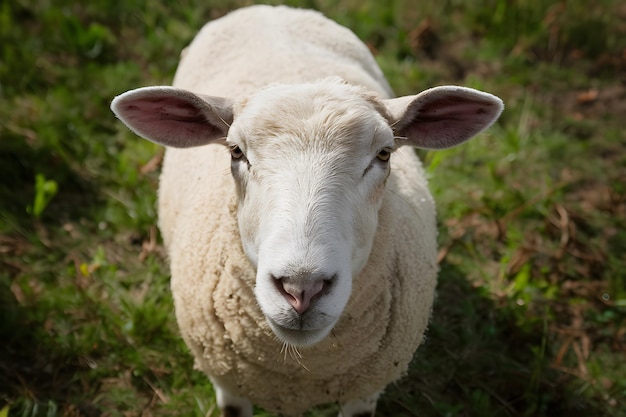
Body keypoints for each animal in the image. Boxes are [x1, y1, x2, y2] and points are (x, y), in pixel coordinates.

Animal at [111, 4, 502, 416]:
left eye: (384, 154)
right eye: (236, 151)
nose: (302, 289)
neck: (300, 371)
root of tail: (270, 8)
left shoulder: (365, 390)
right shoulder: (228, 384)